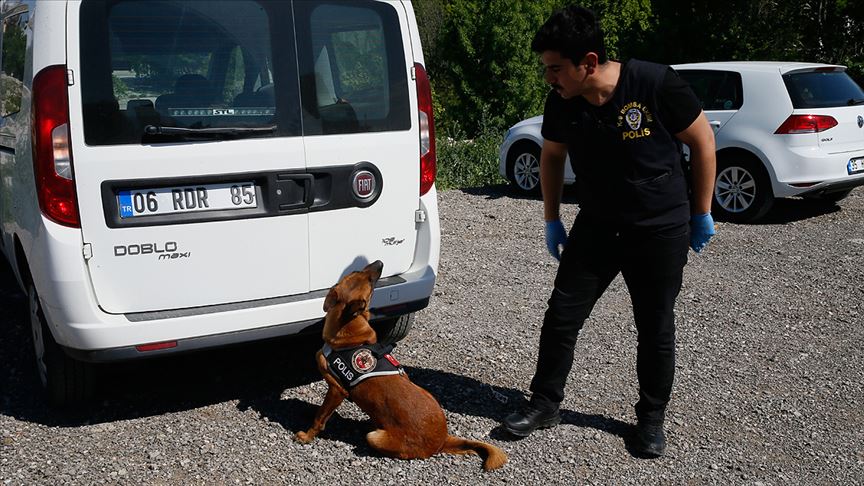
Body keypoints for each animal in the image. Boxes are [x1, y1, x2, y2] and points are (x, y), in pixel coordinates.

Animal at [296, 262, 506, 470]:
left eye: (369, 280)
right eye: (359, 273)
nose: (380, 263)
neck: (350, 330)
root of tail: (442, 440)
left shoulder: (336, 389)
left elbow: (320, 418)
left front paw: (306, 436)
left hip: (375, 438)